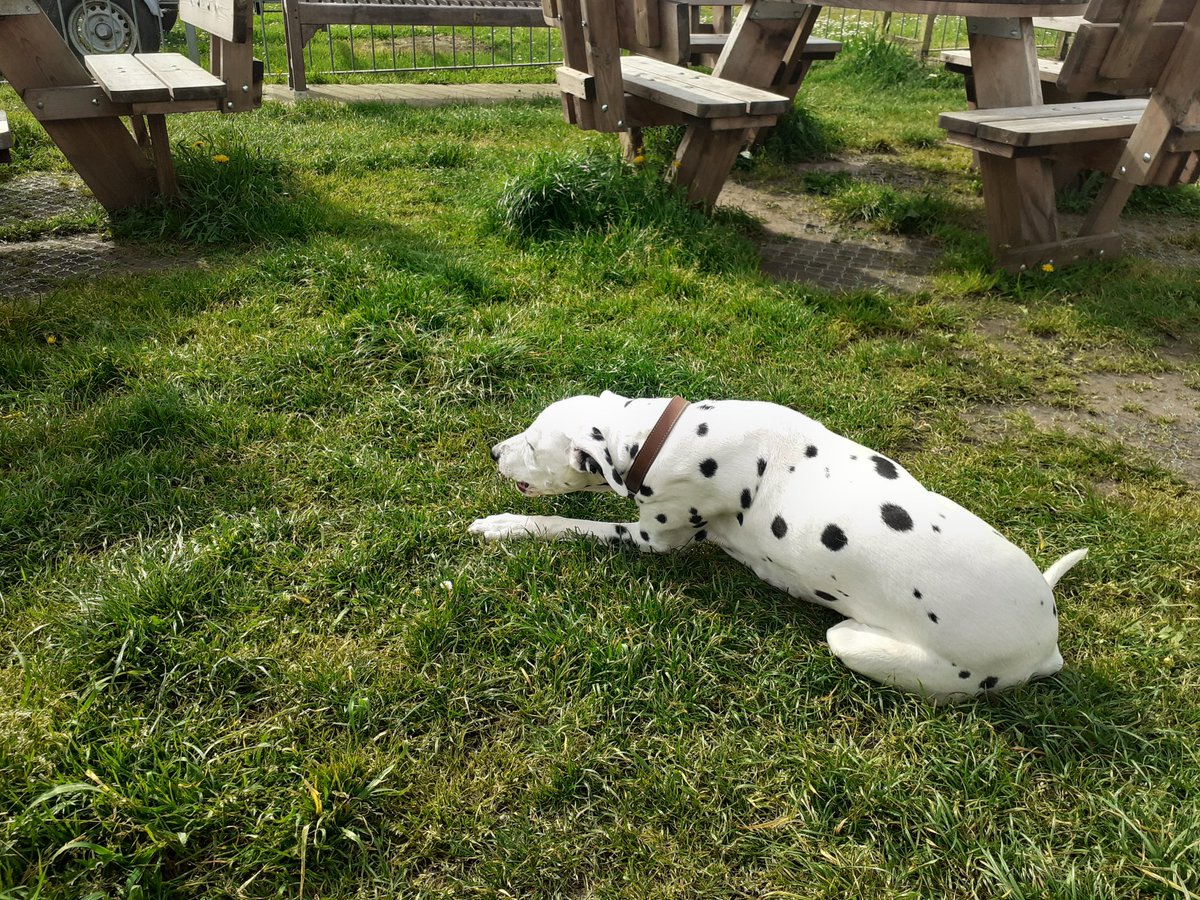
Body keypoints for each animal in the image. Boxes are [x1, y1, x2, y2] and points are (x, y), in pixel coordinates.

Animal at [470, 393, 1089, 705]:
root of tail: (1046, 644)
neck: (665, 436)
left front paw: (509, 524)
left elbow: (564, 521)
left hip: (863, 645)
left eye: (532, 445)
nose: (495, 450)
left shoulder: (653, 537)